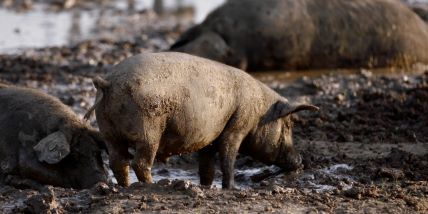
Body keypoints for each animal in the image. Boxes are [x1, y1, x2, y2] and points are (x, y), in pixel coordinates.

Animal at [84, 52, 318, 189]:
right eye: (288, 125)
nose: (300, 160)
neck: (259, 110)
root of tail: (108, 82)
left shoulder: (209, 138)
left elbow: (207, 165)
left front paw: (206, 186)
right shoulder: (237, 126)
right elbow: (228, 157)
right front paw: (230, 188)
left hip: (108, 131)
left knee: (118, 161)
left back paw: (125, 187)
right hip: (148, 129)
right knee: (139, 162)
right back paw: (152, 185)